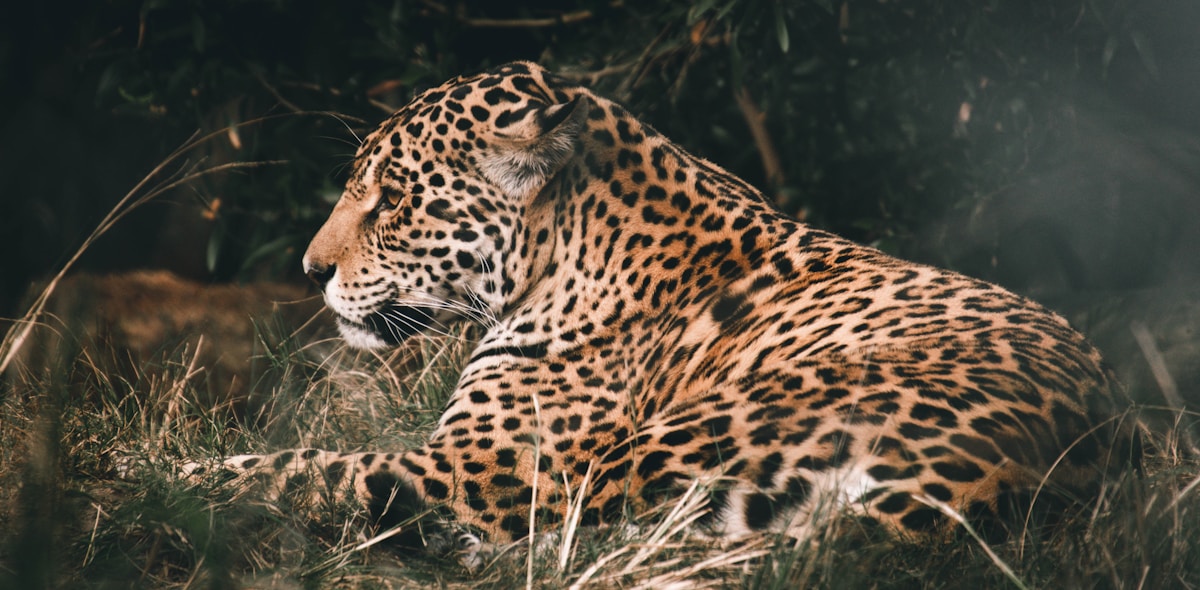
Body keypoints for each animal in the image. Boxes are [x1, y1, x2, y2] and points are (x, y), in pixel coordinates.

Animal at [205, 61, 1138, 548]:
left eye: (394, 199)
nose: (309, 269)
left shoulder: (485, 467)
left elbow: (305, 464)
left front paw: (178, 479)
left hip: (675, 440)